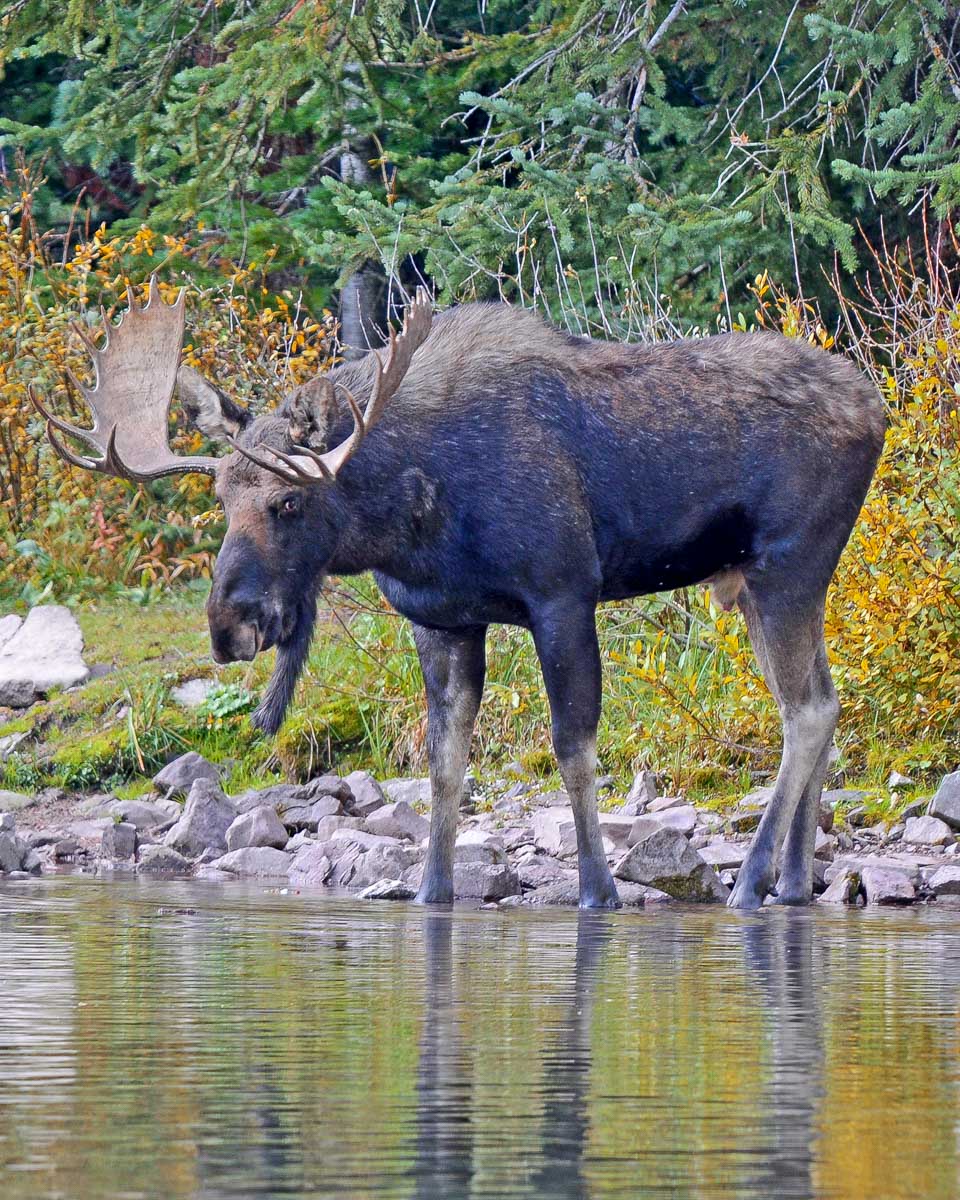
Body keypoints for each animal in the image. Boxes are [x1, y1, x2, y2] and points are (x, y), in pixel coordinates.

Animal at [30, 278, 885, 910]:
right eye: (220, 500)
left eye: (288, 502)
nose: (229, 625)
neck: (409, 520)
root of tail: (879, 407)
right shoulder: (440, 620)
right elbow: (445, 761)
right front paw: (431, 891)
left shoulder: (562, 592)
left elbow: (571, 748)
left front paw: (598, 890)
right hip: (759, 583)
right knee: (825, 696)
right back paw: (794, 883)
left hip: (787, 563)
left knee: (805, 710)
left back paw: (751, 882)